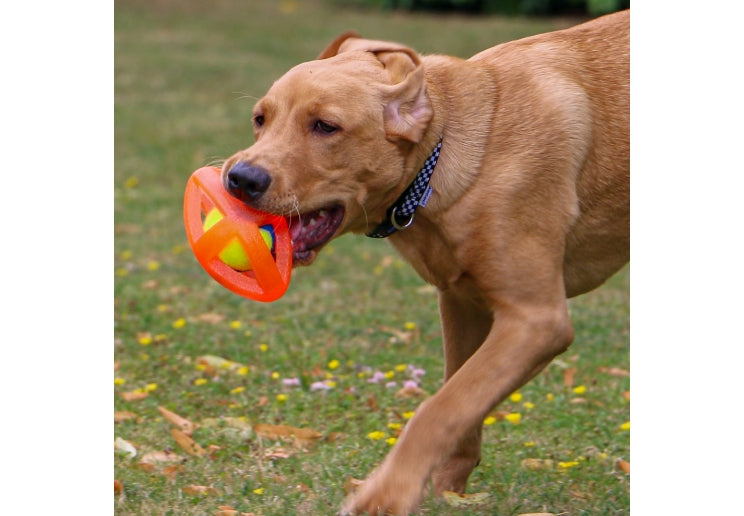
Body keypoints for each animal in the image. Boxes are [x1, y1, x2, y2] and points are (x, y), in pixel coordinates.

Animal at [219, 10, 628, 512]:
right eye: (261, 119)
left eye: (326, 127)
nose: (240, 178)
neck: (444, 150)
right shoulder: (464, 302)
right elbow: (461, 402)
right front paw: (443, 491)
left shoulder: (536, 320)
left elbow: (440, 409)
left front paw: (385, 495)